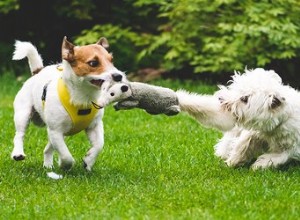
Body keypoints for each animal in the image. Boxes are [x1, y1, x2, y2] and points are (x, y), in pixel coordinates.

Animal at [11, 37, 125, 171]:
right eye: (93, 63)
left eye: (111, 60)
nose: (119, 76)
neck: (83, 97)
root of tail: (38, 71)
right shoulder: (56, 131)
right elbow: (66, 156)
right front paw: (64, 164)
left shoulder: (94, 126)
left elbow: (99, 145)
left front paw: (88, 161)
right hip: (23, 114)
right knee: (19, 135)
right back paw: (18, 153)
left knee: (48, 148)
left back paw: (48, 165)